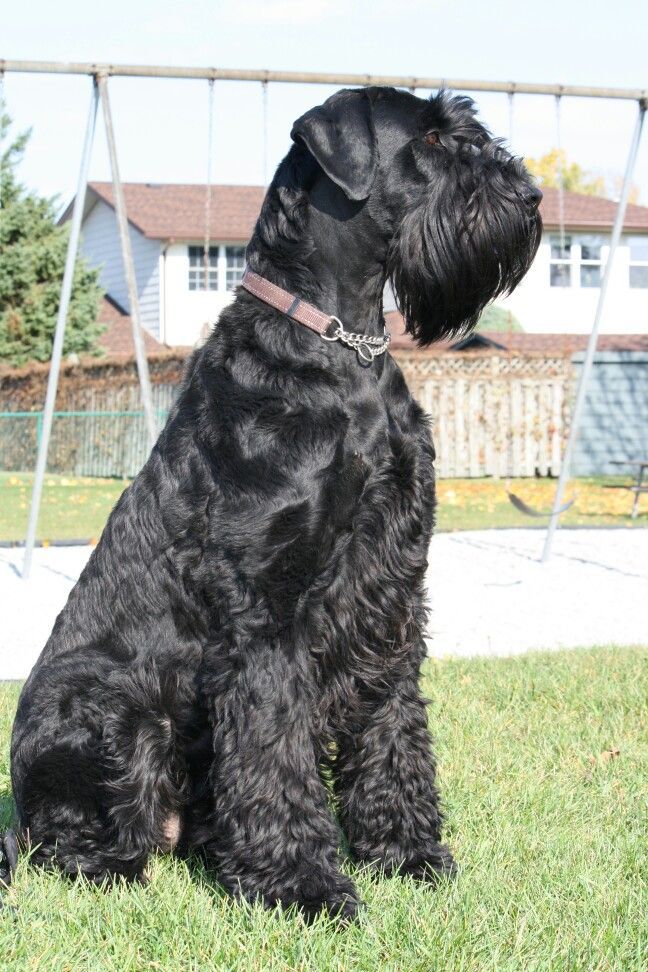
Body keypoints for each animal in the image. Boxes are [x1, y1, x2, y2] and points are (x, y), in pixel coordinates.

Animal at [8, 85, 540, 920]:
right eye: (429, 138)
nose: (529, 198)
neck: (339, 348)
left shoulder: (390, 594)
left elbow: (392, 724)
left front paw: (408, 854)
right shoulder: (268, 606)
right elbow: (272, 744)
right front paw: (304, 886)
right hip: (106, 709)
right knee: (65, 839)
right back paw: (114, 863)